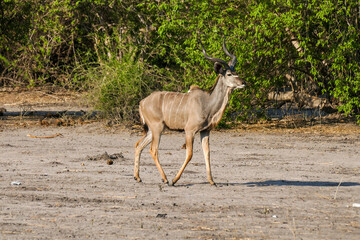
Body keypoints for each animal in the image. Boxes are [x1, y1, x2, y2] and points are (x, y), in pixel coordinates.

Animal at [134, 38, 246, 186]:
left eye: (236, 72)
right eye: (229, 74)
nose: (243, 82)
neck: (207, 103)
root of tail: (142, 102)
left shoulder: (205, 131)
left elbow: (207, 153)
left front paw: (212, 181)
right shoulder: (189, 130)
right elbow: (190, 154)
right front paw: (174, 180)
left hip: (153, 130)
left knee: (138, 145)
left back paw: (137, 177)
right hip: (157, 128)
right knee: (153, 150)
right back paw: (165, 179)